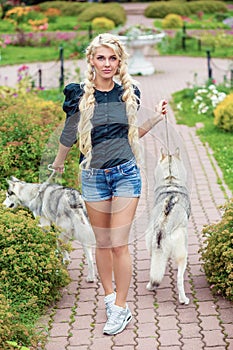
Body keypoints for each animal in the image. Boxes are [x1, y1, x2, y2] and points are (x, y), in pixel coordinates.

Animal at [146, 148, 191, 304]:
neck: (171, 178)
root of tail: (163, 226)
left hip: (151, 244)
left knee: (154, 269)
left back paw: (150, 285)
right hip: (183, 252)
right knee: (179, 280)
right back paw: (183, 299)